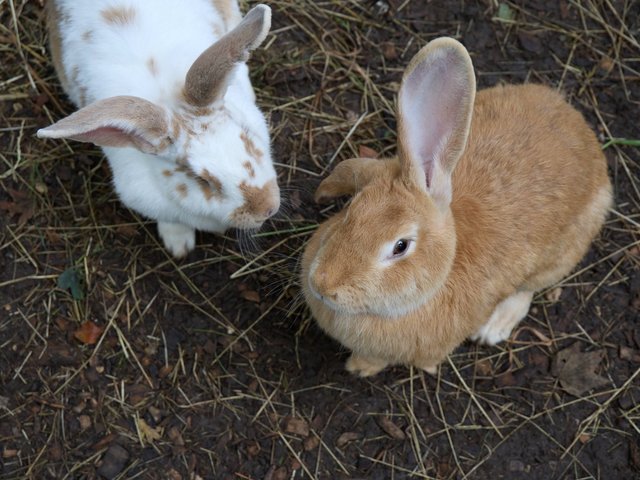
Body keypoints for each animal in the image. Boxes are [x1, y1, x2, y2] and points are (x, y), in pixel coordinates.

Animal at [302, 37, 612, 378]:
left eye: (400, 246)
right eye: (352, 209)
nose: (323, 285)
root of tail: (584, 133)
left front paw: (359, 368)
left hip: (563, 252)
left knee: (528, 289)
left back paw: (494, 327)